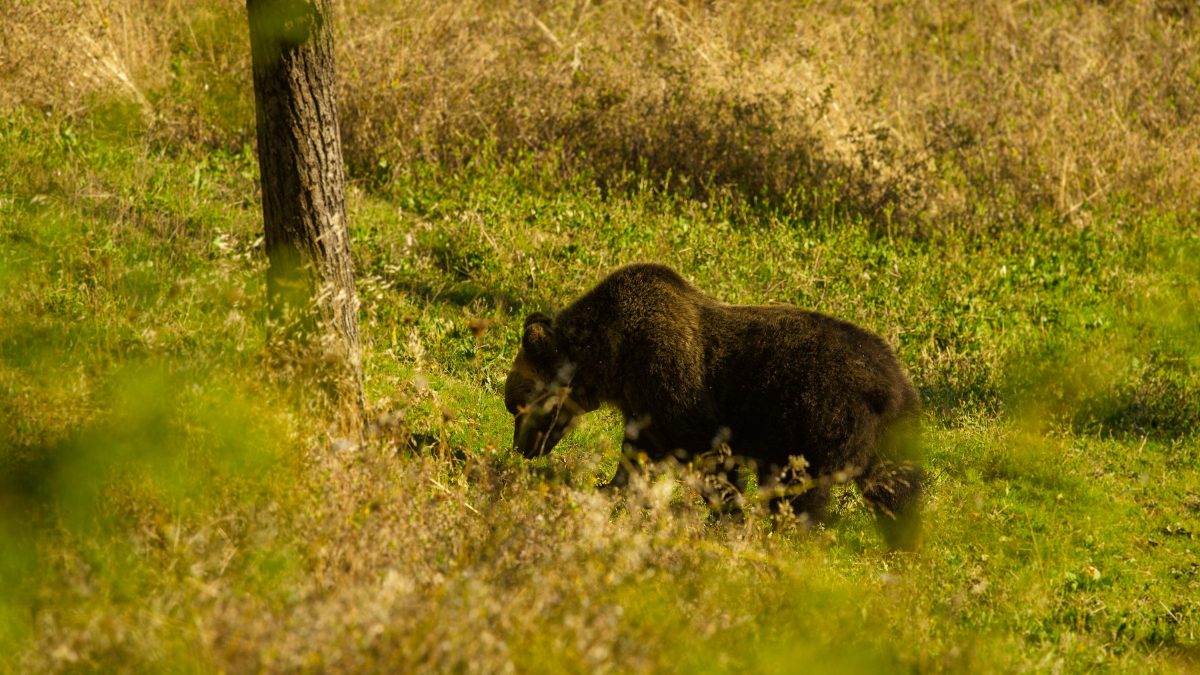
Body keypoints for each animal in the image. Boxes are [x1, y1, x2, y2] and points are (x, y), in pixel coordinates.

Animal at [504, 263, 923, 550]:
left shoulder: (674, 386)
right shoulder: (644, 410)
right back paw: (903, 539)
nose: (523, 448)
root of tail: (892, 383)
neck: (613, 359)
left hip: (819, 418)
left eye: (516, 406)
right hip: (890, 433)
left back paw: (787, 532)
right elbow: (637, 458)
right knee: (895, 486)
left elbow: (707, 455)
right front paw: (611, 490)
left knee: (800, 488)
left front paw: (728, 512)